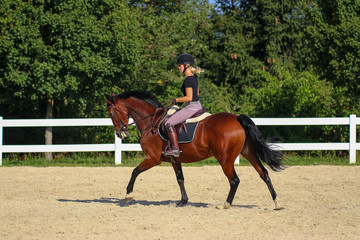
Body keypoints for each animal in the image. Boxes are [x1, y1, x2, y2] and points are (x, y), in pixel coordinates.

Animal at [105, 90, 286, 210]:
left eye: (111, 113)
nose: (119, 133)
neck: (151, 122)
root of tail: (236, 118)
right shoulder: (174, 160)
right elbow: (180, 179)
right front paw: (183, 201)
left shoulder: (153, 158)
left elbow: (135, 171)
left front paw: (128, 195)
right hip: (248, 153)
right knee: (264, 173)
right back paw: (277, 203)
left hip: (225, 159)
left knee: (235, 180)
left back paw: (226, 204)